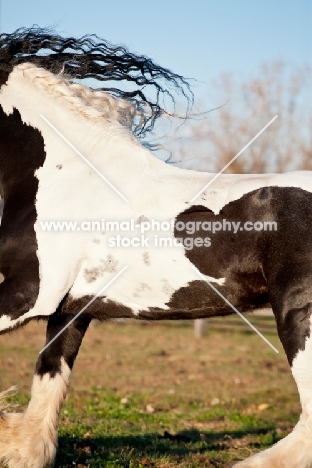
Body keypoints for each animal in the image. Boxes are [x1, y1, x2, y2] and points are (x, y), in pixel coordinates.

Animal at [0, 26, 312, 468]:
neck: (68, 179)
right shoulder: (70, 308)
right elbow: (50, 376)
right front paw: (23, 452)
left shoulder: (28, 296)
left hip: (297, 312)